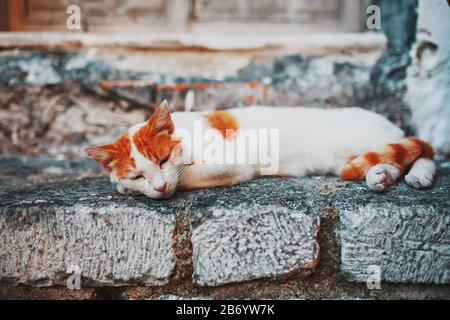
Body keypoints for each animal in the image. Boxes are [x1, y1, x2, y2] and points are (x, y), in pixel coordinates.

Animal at [84, 101, 436, 199]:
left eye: (164, 159)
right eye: (137, 175)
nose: (157, 187)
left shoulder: (235, 163)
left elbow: (188, 175)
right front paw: (125, 187)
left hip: (357, 140)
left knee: (425, 153)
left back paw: (420, 175)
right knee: (393, 160)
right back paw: (381, 176)